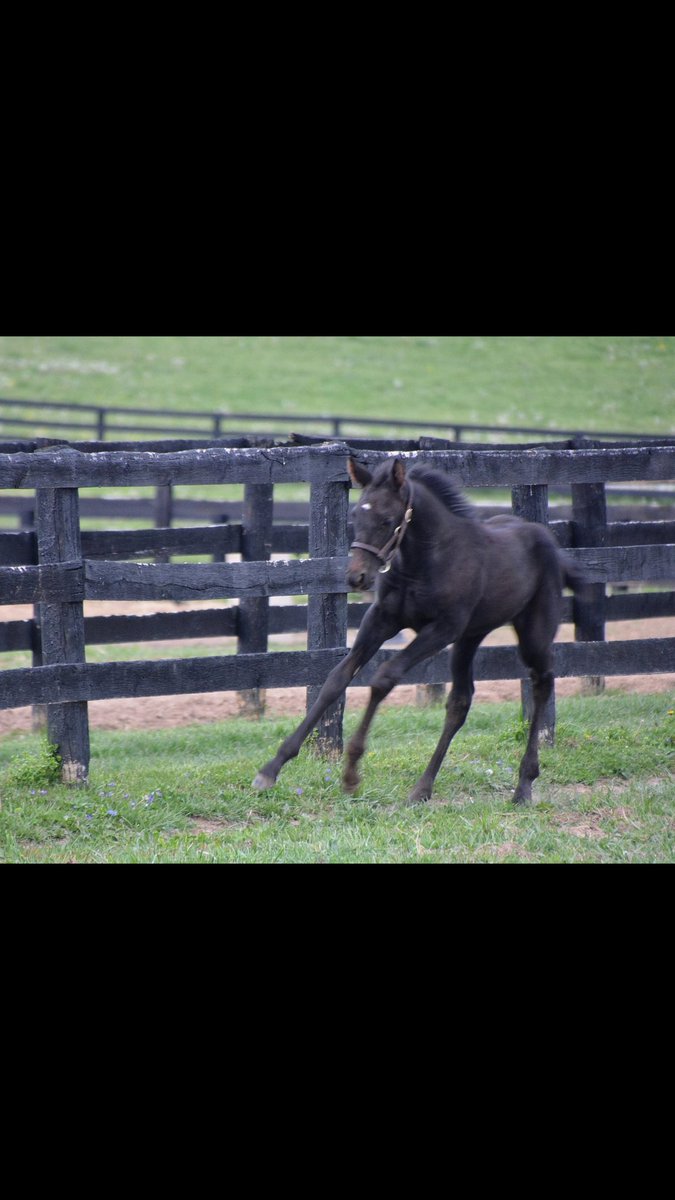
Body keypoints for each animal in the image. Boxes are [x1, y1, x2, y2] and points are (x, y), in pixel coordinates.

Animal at [252, 456, 583, 806]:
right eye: (355, 515)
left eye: (387, 520)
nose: (356, 577)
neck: (426, 560)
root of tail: (549, 542)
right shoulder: (381, 620)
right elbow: (336, 680)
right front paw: (271, 768)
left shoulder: (441, 630)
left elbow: (383, 678)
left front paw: (351, 772)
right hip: (470, 637)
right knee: (460, 702)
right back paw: (424, 787)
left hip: (532, 631)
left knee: (542, 682)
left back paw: (524, 784)